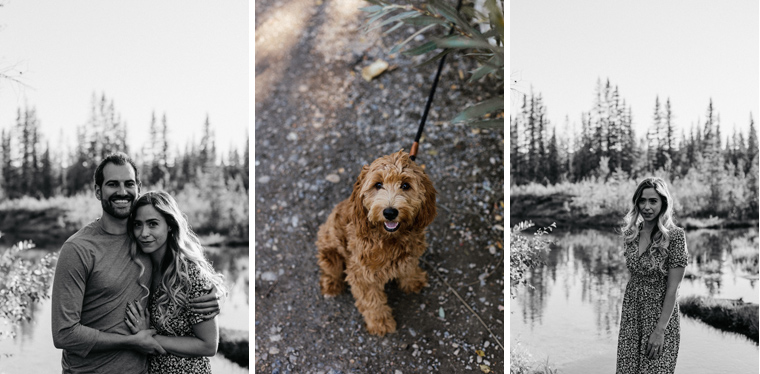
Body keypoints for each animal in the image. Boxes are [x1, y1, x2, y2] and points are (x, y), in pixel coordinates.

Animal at [314, 149, 436, 336]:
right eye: (378, 185)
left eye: (405, 185)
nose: (390, 212)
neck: (389, 238)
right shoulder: (361, 273)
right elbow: (372, 301)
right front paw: (381, 323)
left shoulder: (411, 252)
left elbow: (409, 267)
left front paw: (413, 280)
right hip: (330, 251)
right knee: (330, 269)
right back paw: (331, 284)